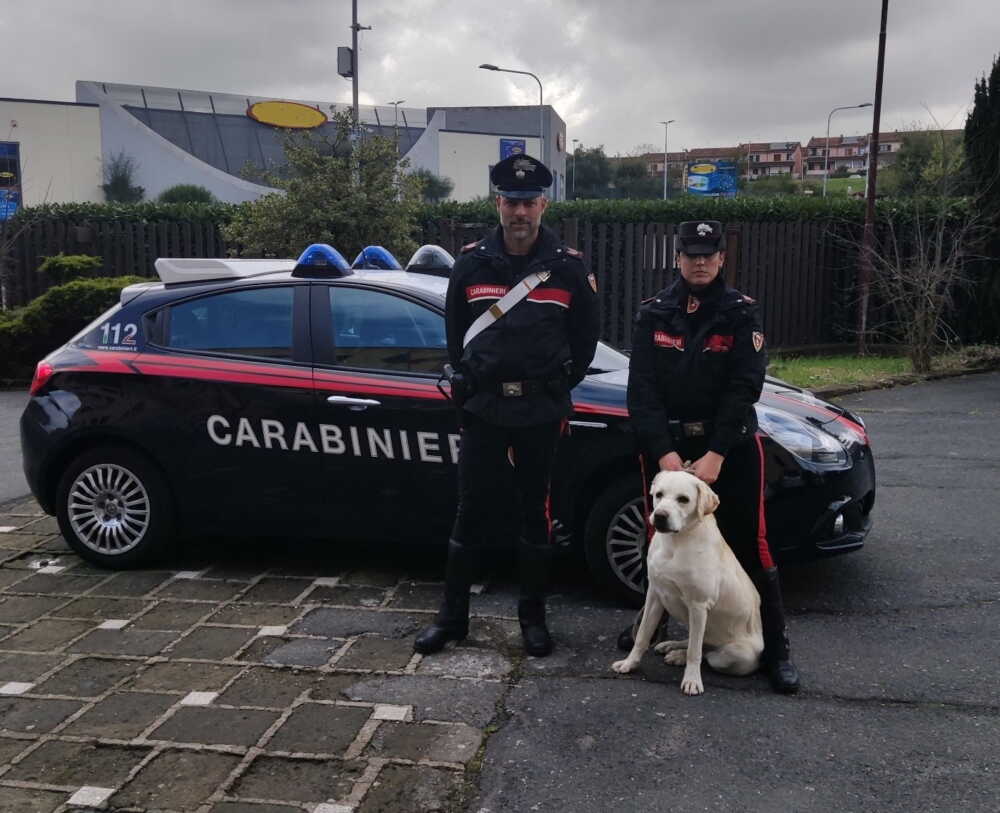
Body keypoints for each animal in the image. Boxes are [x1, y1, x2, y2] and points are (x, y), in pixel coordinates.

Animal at [608, 470, 764, 692]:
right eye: (659, 495)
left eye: (683, 499)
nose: (660, 516)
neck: (675, 542)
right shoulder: (655, 595)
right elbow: (643, 635)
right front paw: (630, 663)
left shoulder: (698, 605)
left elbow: (694, 652)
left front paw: (691, 680)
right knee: (697, 642)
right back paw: (671, 646)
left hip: (738, 655)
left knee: (707, 653)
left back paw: (679, 656)